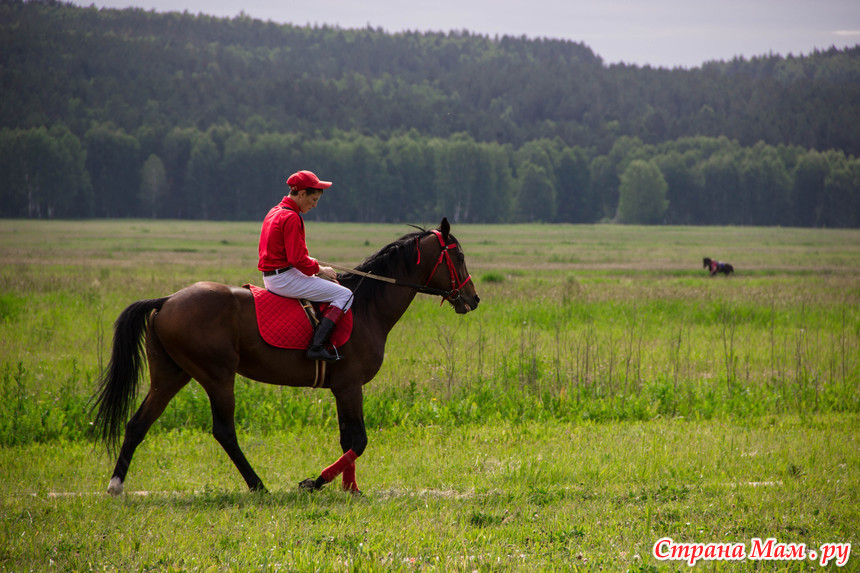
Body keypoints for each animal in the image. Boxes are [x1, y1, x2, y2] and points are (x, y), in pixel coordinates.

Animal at [91, 217, 480, 494]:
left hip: (171, 374)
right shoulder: (350, 386)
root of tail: (168, 299)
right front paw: (316, 482)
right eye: (458, 256)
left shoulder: (341, 387)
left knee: (138, 423)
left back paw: (116, 485)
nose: (473, 299)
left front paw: (350, 488)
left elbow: (348, 439)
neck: (366, 307)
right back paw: (257, 484)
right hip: (217, 376)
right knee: (224, 431)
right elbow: (359, 440)